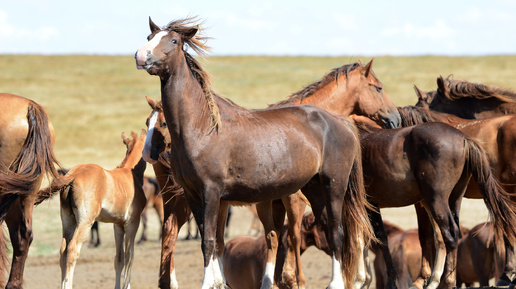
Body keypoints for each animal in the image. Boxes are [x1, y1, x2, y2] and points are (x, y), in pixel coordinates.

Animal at [38, 130, 145, 288]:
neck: (130, 173)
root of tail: (73, 175)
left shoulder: (118, 225)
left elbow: (119, 259)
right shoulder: (132, 223)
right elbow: (129, 257)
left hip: (68, 220)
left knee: (63, 251)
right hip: (85, 222)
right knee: (72, 249)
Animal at [135, 17, 372, 288]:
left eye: (173, 40)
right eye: (148, 38)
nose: (141, 56)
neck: (201, 127)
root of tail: (340, 121)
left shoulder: (211, 192)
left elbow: (209, 242)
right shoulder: (193, 194)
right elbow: (210, 240)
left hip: (333, 185)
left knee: (336, 232)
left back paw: (336, 282)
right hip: (313, 188)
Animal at [354, 117, 516, 288]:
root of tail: (463, 138)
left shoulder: (367, 205)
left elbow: (372, 238)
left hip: (436, 200)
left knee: (450, 234)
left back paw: (446, 281)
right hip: (453, 199)